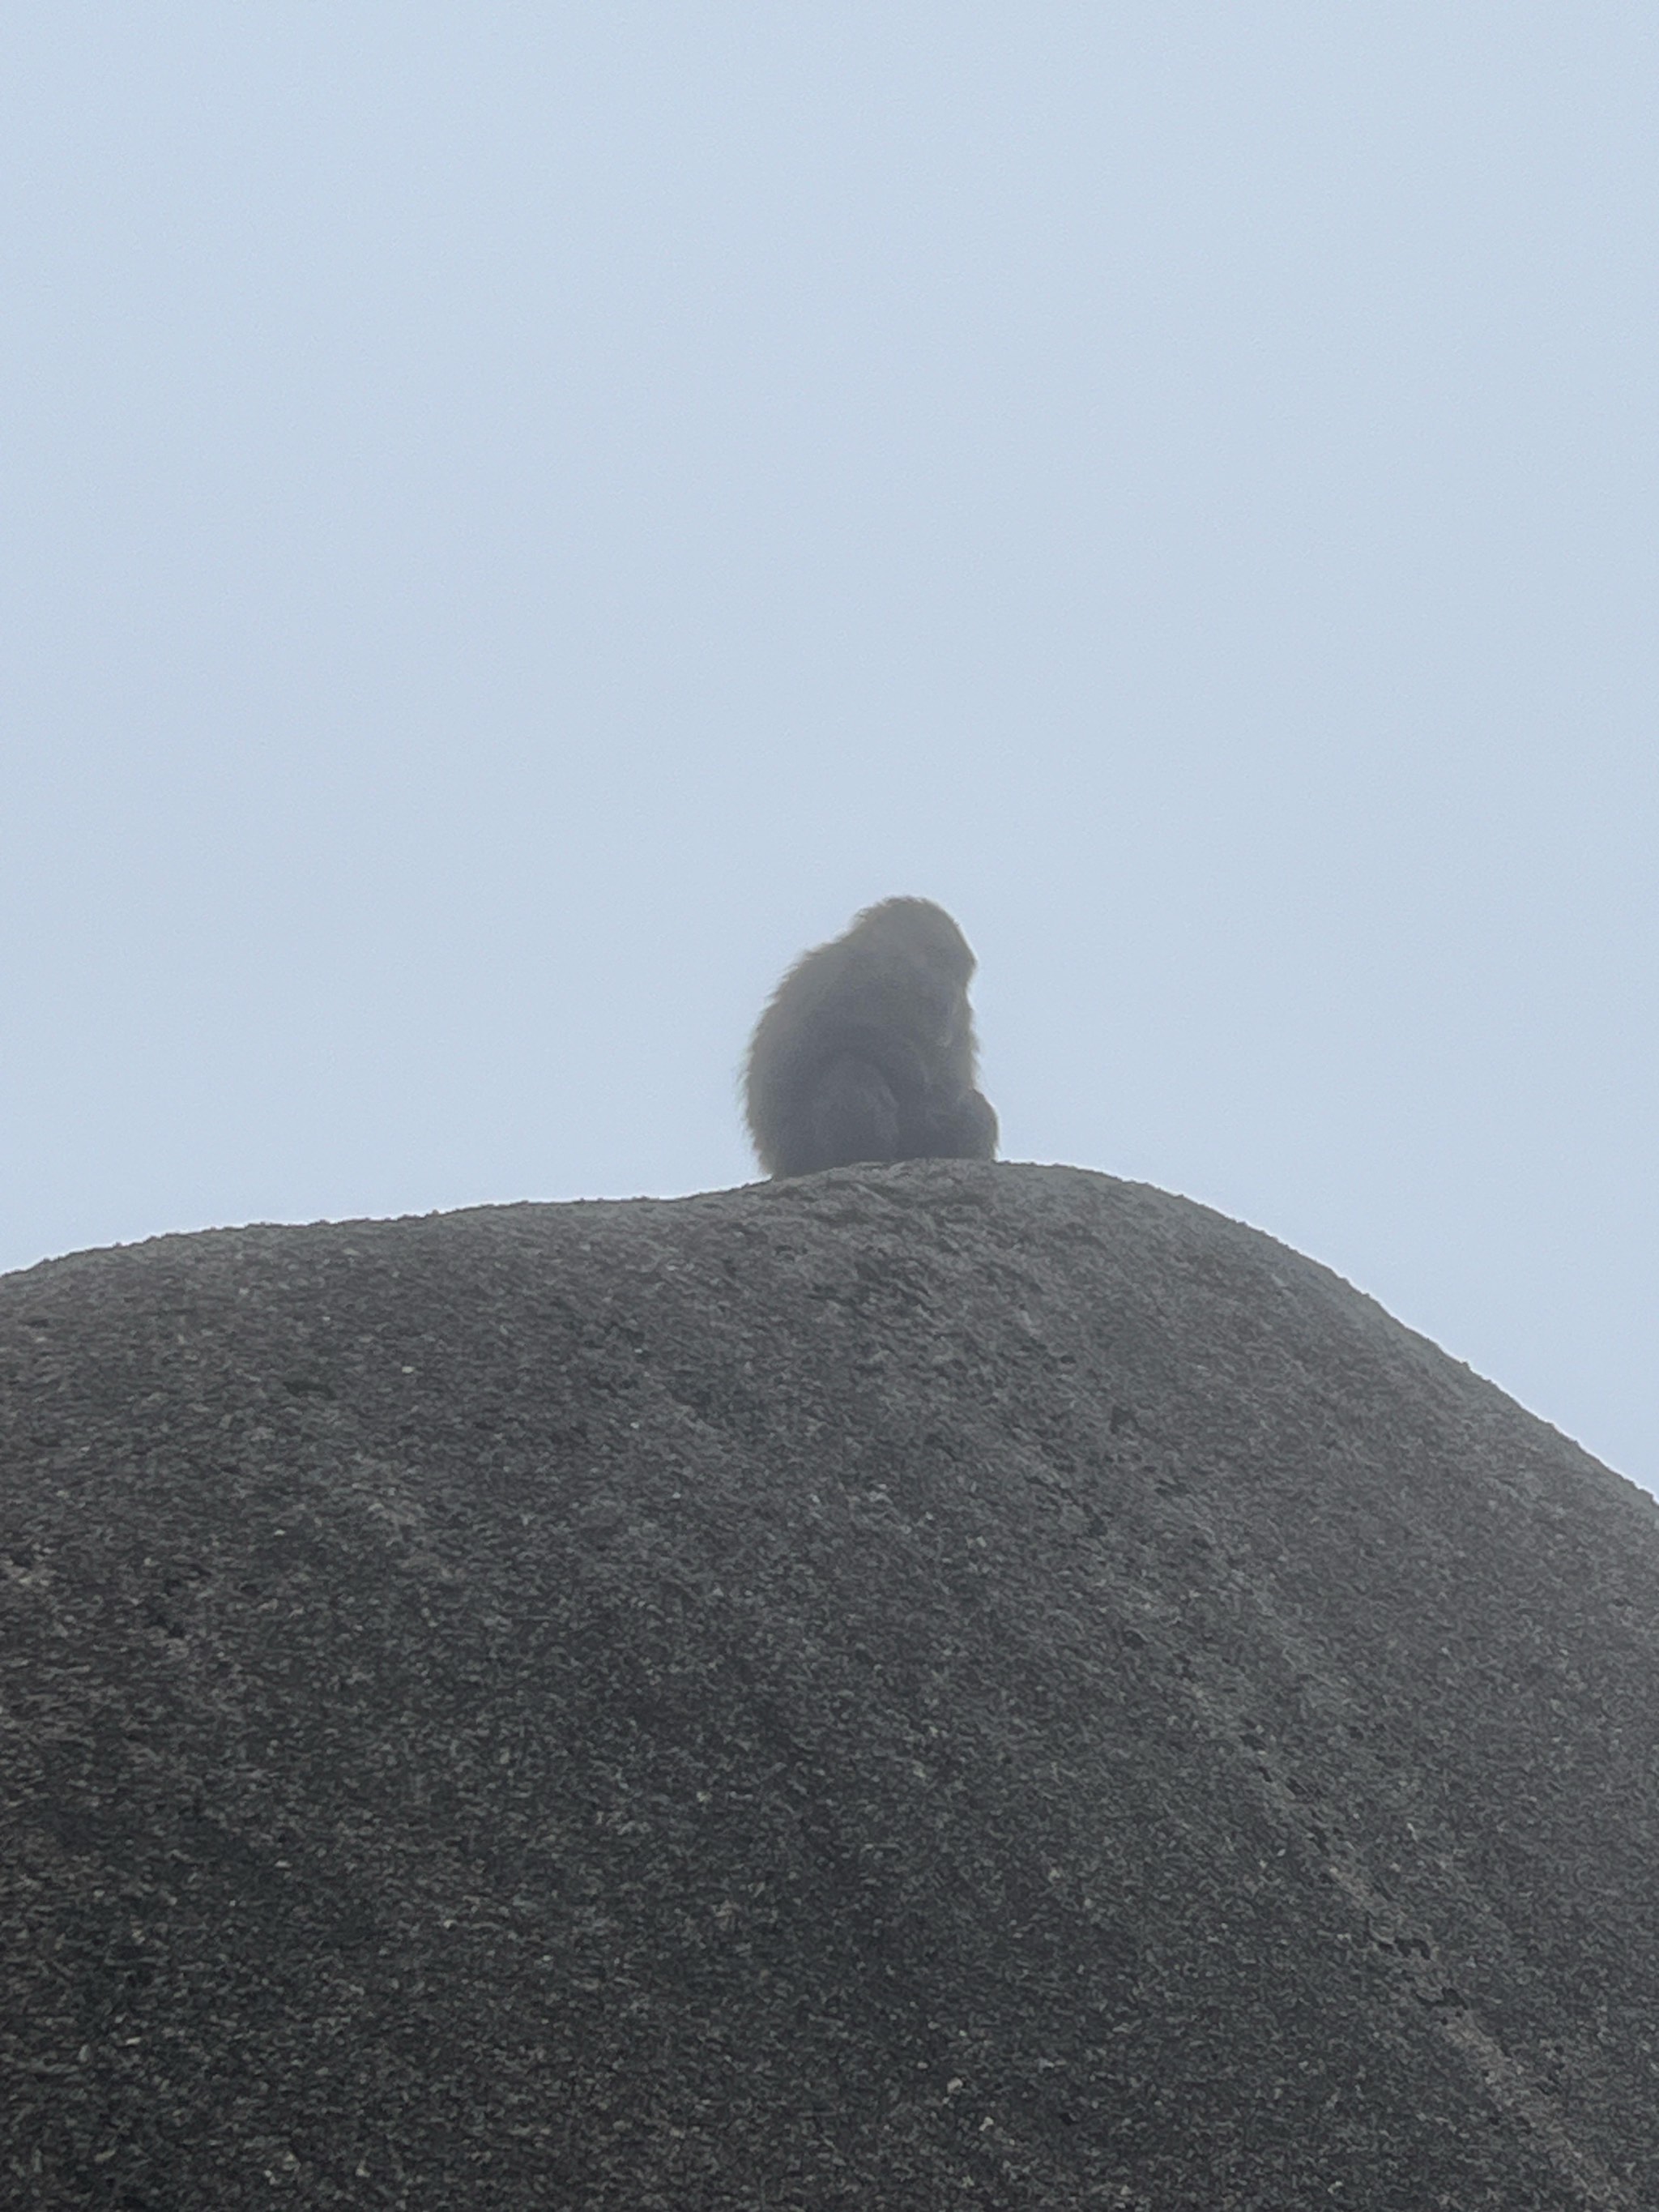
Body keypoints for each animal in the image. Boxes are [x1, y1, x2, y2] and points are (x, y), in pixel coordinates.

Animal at [752, 893, 1000, 1185]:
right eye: (937, 959)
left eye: (955, 971)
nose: (949, 990)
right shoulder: (827, 973)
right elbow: (792, 1056)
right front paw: (901, 1061)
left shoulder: (959, 1015)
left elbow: (953, 1079)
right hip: (799, 1150)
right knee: (849, 1069)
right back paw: (860, 1154)